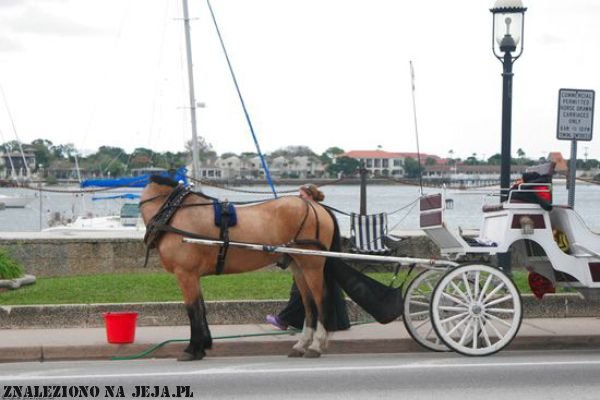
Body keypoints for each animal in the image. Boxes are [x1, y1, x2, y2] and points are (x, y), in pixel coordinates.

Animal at [139, 177, 338, 360]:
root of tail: (315, 206)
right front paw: (203, 345)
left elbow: (193, 310)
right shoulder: (193, 275)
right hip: (298, 266)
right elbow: (201, 308)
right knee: (308, 303)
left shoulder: (185, 273)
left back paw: (316, 345)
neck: (174, 211)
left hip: (312, 264)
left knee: (321, 299)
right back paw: (301, 345)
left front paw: (193, 349)